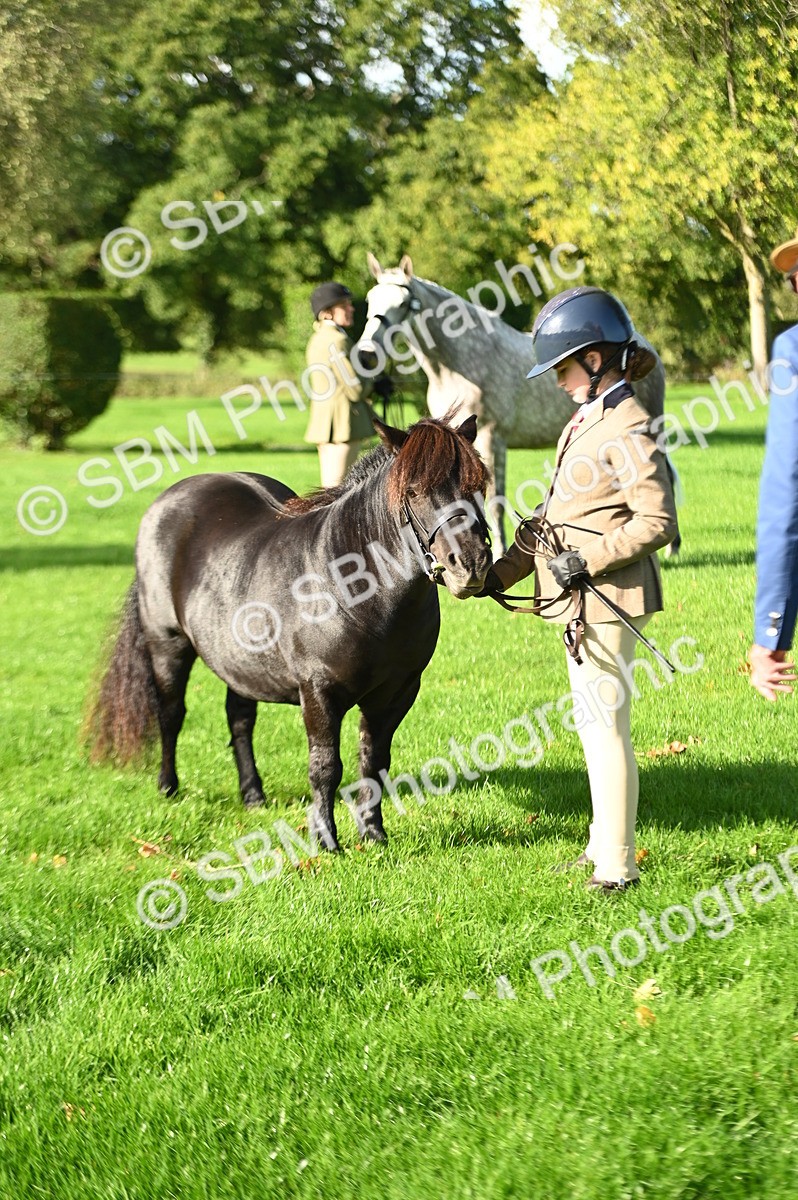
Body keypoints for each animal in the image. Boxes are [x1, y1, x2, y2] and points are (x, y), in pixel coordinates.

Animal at [86, 413, 492, 851]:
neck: (351, 586)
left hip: (240, 659)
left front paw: (373, 834)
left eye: (477, 486)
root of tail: (165, 504)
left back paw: (253, 794)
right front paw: (325, 840)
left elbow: (374, 761)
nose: (470, 565)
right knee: (172, 713)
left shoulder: (397, 692)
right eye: (413, 491)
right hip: (167, 645)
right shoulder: (317, 691)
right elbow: (325, 767)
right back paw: (168, 787)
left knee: (240, 719)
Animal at [356, 254, 679, 555]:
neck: (458, 364)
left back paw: (671, 547)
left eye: (404, 303)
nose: (366, 354)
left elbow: (495, 502)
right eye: (371, 299)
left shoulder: (491, 438)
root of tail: (642, 347)